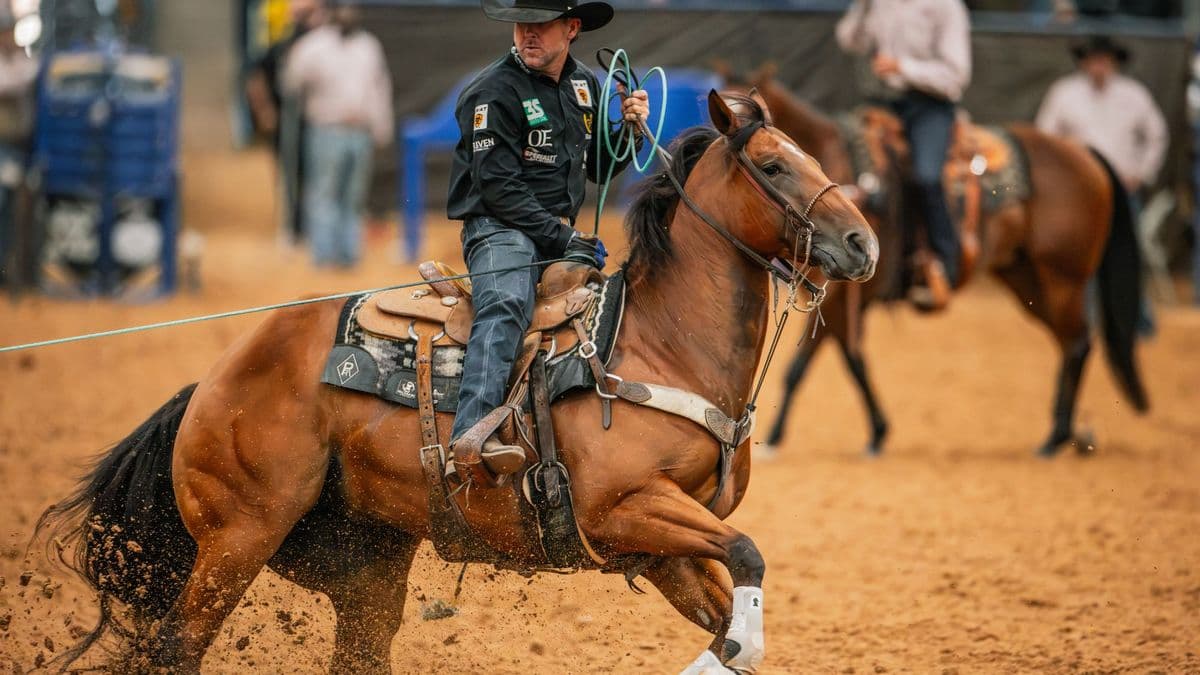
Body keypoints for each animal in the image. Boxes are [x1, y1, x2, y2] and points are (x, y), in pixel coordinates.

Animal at [36, 91, 877, 674]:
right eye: (773, 165)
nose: (863, 241)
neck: (658, 343)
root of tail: (211, 381)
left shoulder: (659, 545)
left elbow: (734, 597)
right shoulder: (626, 507)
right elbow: (749, 557)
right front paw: (730, 647)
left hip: (363, 562)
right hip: (237, 538)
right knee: (176, 646)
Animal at [723, 66, 1148, 457]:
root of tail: (1084, 151)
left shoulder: (843, 294)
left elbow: (823, 361)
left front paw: (794, 435)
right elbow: (840, 359)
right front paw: (869, 432)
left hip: (1062, 278)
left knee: (1077, 342)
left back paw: (1056, 438)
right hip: (1028, 277)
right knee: (1071, 342)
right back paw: (1067, 434)